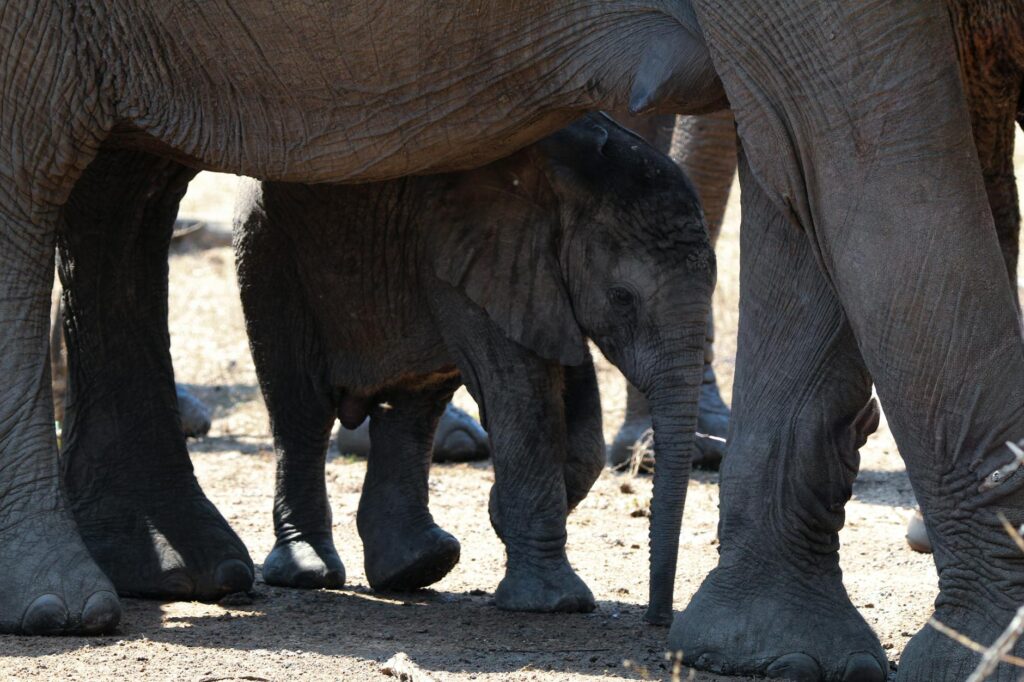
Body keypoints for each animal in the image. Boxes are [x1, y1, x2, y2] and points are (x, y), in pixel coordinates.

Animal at [233, 114, 714, 619]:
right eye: (622, 298)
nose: (658, 618)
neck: (569, 180)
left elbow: (572, 401)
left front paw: (502, 512)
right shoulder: (488, 251)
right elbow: (522, 394)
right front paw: (556, 603)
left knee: (413, 405)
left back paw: (418, 567)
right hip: (269, 251)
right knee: (301, 408)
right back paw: (311, 572)